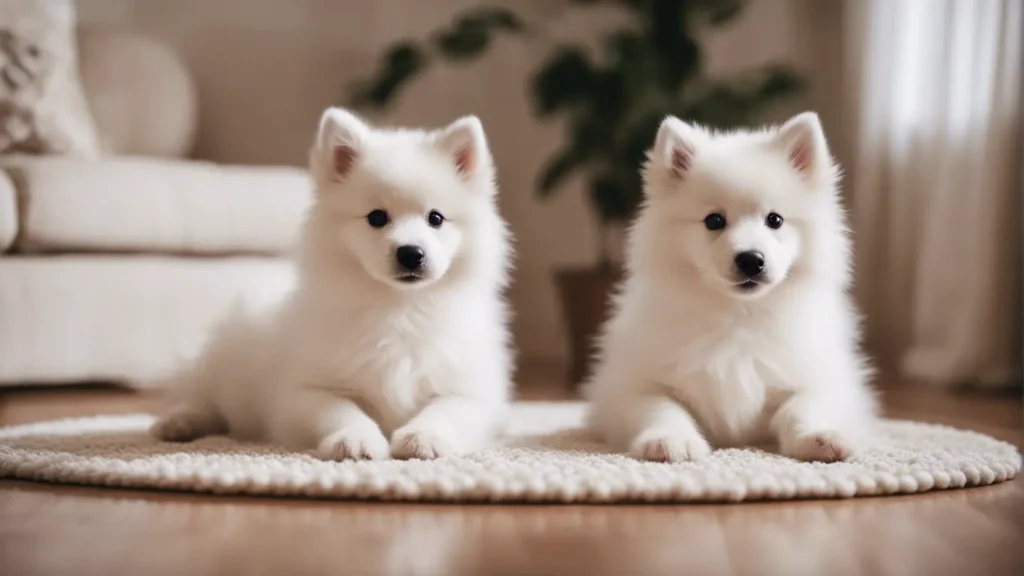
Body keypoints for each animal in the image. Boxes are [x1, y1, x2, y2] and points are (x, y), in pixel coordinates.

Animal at [150, 106, 512, 457]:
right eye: (376, 218)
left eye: (435, 218)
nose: (411, 253)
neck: (398, 306)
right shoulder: (305, 390)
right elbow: (340, 410)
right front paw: (355, 439)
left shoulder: (469, 388)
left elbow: (447, 410)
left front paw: (424, 437)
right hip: (223, 362)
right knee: (200, 395)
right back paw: (180, 422)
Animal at [589, 111, 876, 461]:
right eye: (714, 221)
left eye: (775, 220)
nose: (751, 259)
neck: (738, 315)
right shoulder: (635, 384)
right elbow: (660, 407)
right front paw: (670, 439)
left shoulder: (819, 377)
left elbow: (803, 406)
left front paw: (820, 436)